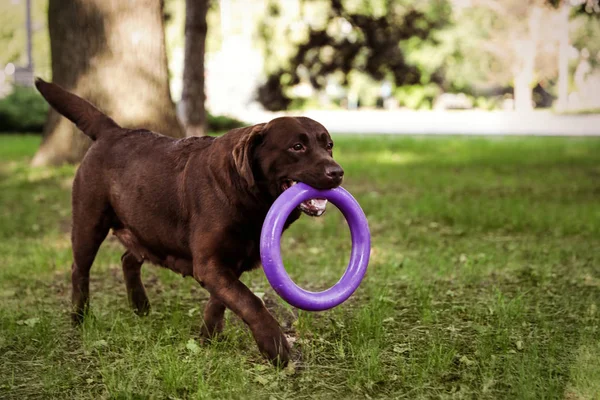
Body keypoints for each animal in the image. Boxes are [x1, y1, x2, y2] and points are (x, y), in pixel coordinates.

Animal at [36, 77, 342, 366]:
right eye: (297, 146)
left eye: (329, 146)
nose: (337, 172)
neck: (247, 196)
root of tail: (113, 131)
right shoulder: (210, 264)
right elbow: (250, 300)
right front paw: (275, 346)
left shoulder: (230, 263)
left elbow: (222, 301)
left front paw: (209, 338)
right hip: (89, 223)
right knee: (80, 270)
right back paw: (80, 317)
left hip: (148, 230)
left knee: (128, 259)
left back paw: (140, 306)